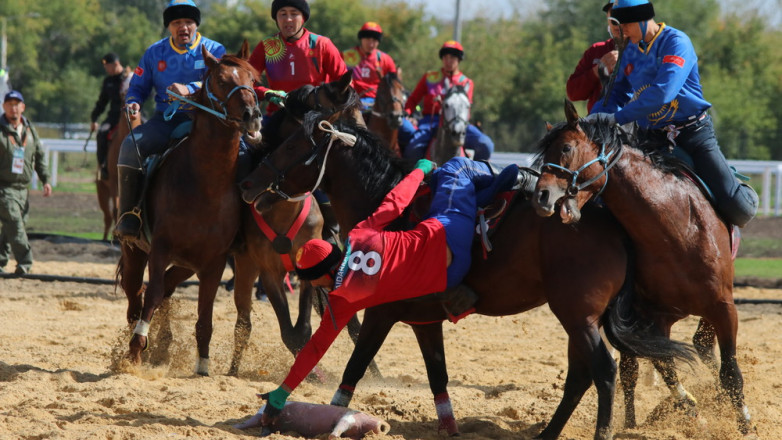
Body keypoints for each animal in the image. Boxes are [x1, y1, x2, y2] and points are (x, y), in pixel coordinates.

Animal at [116, 42, 264, 374]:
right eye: (221, 80)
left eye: (252, 79)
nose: (252, 115)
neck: (205, 185)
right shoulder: (160, 249)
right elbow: (152, 295)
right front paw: (135, 350)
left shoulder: (214, 262)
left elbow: (204, 316)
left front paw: (203, 364)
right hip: (135, 251)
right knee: (137, 294)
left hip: (187, 263)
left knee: (166, 289)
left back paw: (163, 344)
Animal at [237, 111, 692, 438]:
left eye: (292, 144)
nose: (248, 183)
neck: (389, 204)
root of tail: (610, 223)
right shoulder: (424, 322)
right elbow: (437, 375)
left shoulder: (380, 314)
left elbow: (353, 370)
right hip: (581, 319)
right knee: (581, 375)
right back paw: (547, 434)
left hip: (577, 316)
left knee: (604, 372)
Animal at [528, 100, 756, 436]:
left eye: (566, 147)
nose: (541, 196)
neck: (677, 230)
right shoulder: (651, 317)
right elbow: (663, 366)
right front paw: (691, 411)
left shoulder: (723, 306)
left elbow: (730, 372)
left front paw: (744, 424)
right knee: (634, 368)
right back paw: (635, 421)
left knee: (704, 347)